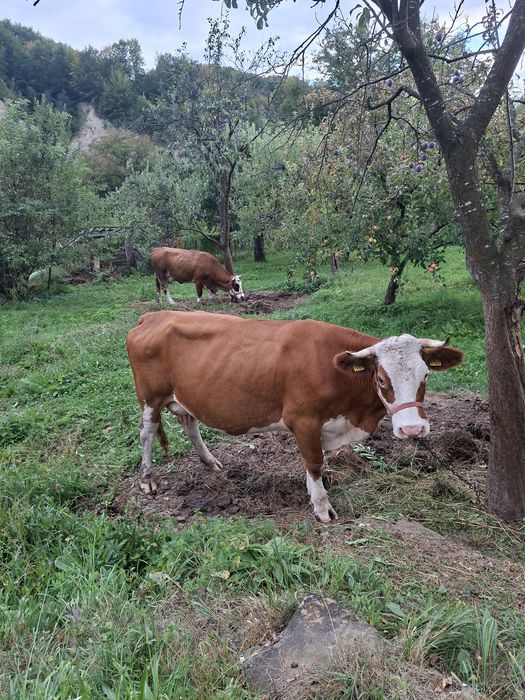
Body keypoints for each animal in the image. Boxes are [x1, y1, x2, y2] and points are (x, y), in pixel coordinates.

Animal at [126, 311, 464, 522]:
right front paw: (322, 506)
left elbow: (314, 465)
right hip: (150, 398)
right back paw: (147, 479)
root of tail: (153, 315)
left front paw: (316, 489)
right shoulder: (303, 419)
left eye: (425, 376)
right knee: (146, 432)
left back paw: (210, 463)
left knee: (189, 421)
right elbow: (314, 463)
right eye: (381, 380)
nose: (412, 429)